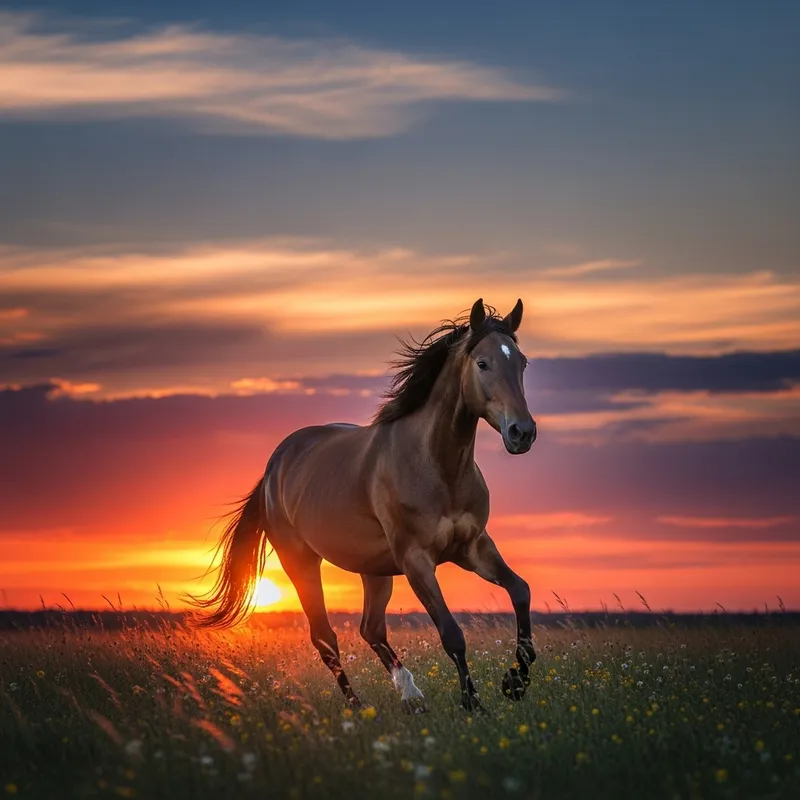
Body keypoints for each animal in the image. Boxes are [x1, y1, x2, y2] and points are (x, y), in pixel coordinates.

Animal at [189, 298, 537, 712]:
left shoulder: (473, 547)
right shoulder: (416, 560)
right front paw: (475, 705)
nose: (522, 433)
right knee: (325, 638)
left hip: (375, 571)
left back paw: (411, 697)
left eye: (522, 362)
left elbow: (520, 591)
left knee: (370, 629)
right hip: (301, 563)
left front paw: (515, 682)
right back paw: (358, 707)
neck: (437, 465)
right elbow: (452, 633)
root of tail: (275, 468)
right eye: (482, 363)